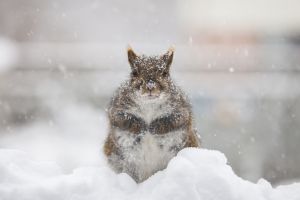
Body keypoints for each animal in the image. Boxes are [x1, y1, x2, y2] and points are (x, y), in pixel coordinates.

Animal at [103, 45, 199, 183]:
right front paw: (141, 126)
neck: (149, 104)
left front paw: (154, 126)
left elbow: (175, 120)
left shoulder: (182, 110)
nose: (150, 86)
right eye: (134, 73)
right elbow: (122, 119)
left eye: (165, 73)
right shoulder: (117, 109)